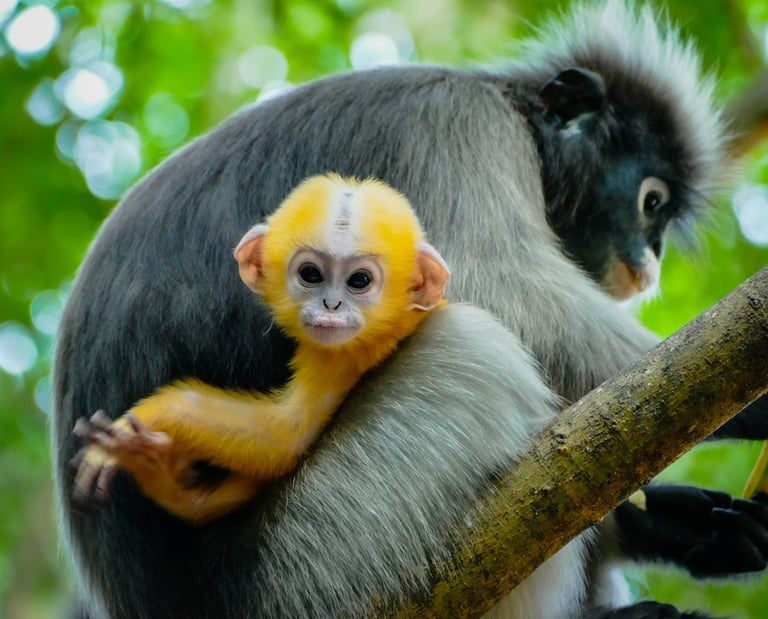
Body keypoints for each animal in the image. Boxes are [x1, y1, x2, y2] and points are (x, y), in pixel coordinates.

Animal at [69, 174, 450, 524]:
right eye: (311, 274)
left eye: (360, 280)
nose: (331, 304)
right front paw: (150, 461)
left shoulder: (348, 353)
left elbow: (284, 437)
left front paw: (143, 425)